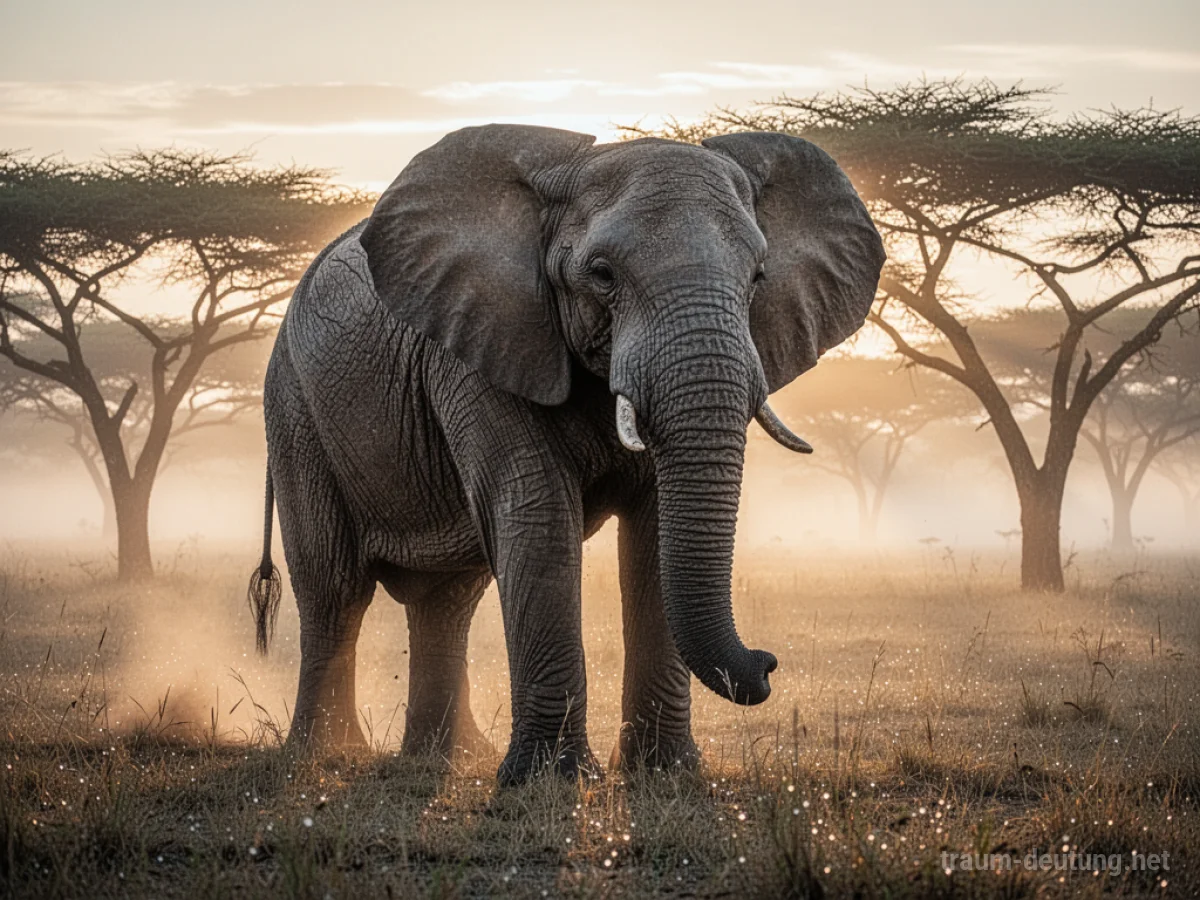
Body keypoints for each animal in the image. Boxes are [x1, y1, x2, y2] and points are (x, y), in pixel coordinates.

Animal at [247, 124, 884, 785]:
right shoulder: (483, 344)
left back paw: (445, 760)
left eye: (759, 276)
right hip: (295, 410)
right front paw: (550, 784)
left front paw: (666, 777)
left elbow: (653, 533)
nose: (767, 665)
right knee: (335, 587)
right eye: (602, 274)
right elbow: (538, 516)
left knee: (447, 600)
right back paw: (324, 758)